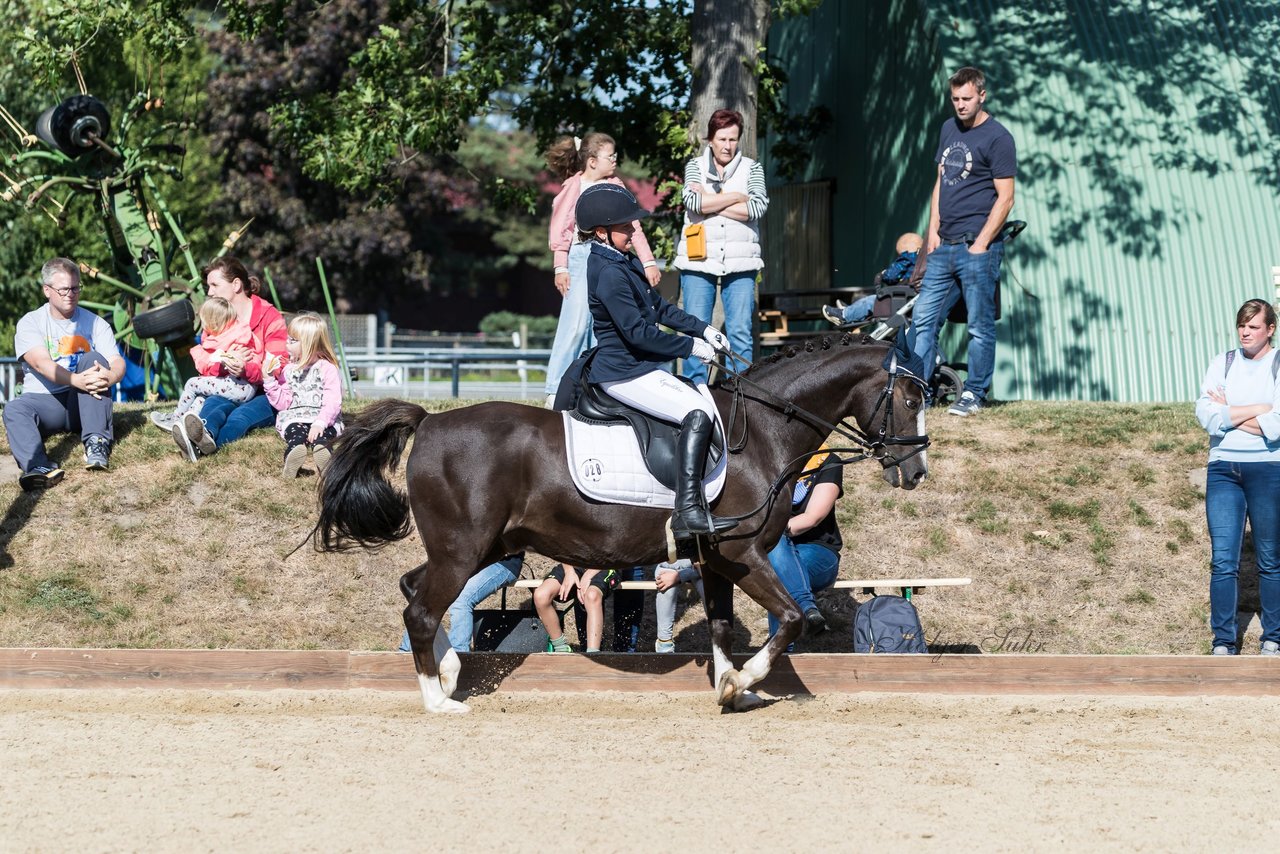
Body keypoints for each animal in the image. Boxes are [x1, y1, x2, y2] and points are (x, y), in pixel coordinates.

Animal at [309, 335, 931, 717]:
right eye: (907, 398)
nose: (915, 470)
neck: (762, 431)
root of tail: (430, 421)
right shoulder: (744, 553)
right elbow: (793, 619)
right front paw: (743, 681)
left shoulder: (716, 560)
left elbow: (724, 628)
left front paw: (730, 690)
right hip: (463, 550)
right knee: (420, 608)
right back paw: (438, 699)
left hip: (479, 547)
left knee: (413, 588)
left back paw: (448, 670)